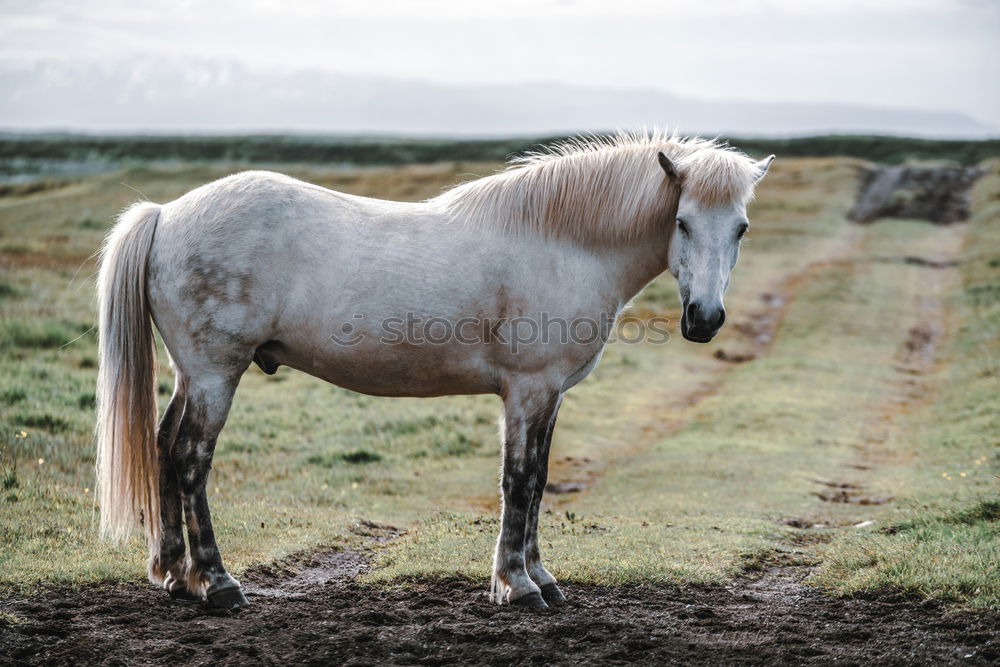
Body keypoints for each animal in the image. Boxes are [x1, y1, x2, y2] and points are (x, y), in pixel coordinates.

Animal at [95, 130, 772, 612]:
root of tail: (166, 213)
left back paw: (174, 575)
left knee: (163, 445)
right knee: (190, 457)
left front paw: (541, 577)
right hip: (215, 373)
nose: (705, 319)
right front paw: (517, 585)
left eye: (741, 228)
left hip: (191, 376)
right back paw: (217, 583)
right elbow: (519, 481)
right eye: (682, 222)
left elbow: (539, 480)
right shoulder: (527, 391)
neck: (562, 243)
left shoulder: (549, 395)